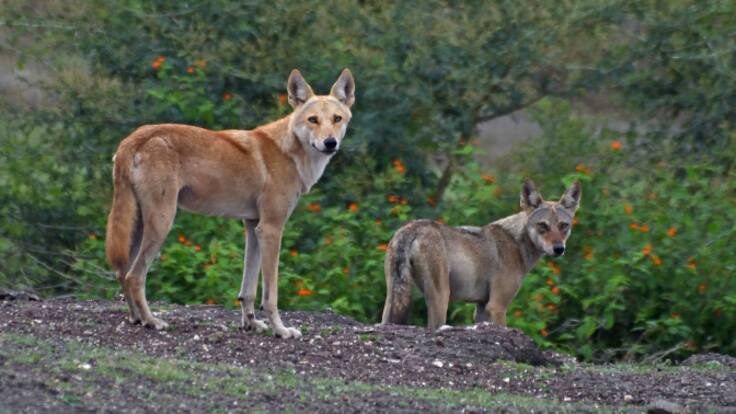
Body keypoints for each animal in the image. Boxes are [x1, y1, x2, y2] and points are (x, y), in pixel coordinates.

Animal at [105, 69, 355, 338]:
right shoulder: (271, 229)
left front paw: (251, 324)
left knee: (122, 272)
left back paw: (136, 319)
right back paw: (151, 321)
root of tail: (134, 137)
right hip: (162, 224)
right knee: (134, 276)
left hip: (139, 226)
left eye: (337, 119)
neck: (290, 152)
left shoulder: (253, 227)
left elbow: (248, 290)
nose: (330, 143)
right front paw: (281, 330)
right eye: (313, 120)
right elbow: (270, 295)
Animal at [381, 179, 581, 329]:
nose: (559, 249)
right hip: (441, 298)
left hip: (393, 298)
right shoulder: (497, 306)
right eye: (543, 226)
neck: (517, 243)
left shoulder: (482, 308)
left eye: (564, 226)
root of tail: (411, 228)